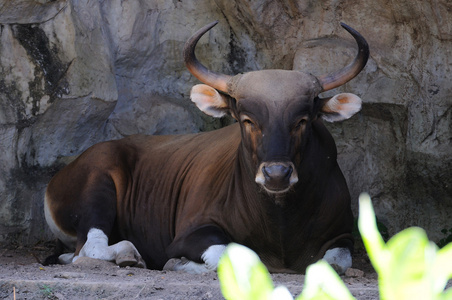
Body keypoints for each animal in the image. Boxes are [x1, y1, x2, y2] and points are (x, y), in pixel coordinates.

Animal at [44, 21, 370, 274]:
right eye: (247, 119)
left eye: (302, 120)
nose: (276, 174)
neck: (280, 224)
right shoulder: (191, 234)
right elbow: (239, 256)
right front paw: (178, 264)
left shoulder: (343, 237)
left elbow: (333, 263)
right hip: (97, 189)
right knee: (88, 249)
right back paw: (127, 254)